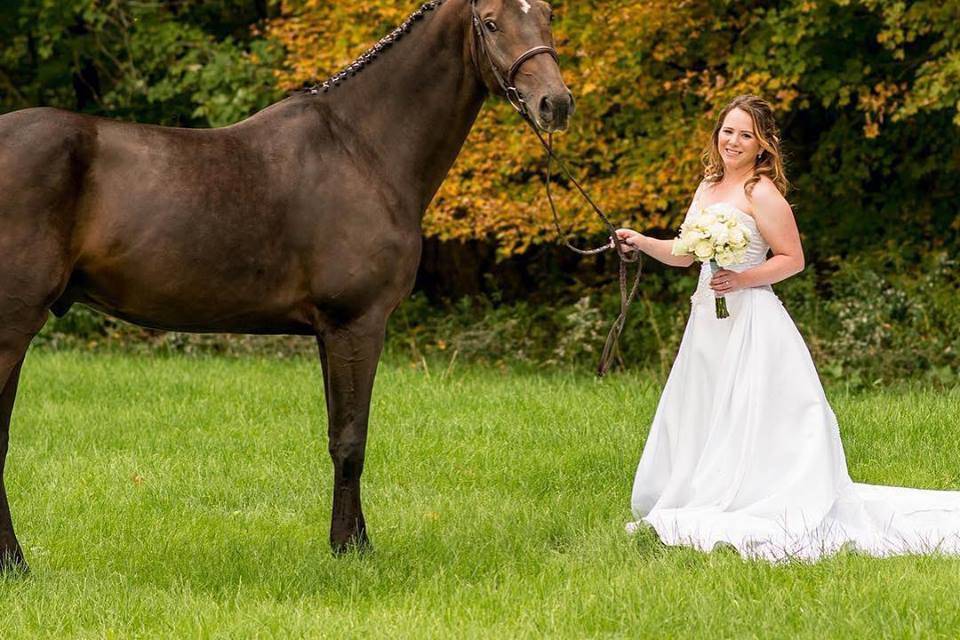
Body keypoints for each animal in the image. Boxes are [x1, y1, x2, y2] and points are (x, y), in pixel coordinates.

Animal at [0, 0, 568, 568]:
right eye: (491, 21)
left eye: (546, 14)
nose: (555, 103)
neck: (363, 149)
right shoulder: (357, 323)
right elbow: (351, 440)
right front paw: (348, 550)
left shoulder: (330, 332)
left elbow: (341, 429)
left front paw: (356, 542)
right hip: (13, 326)